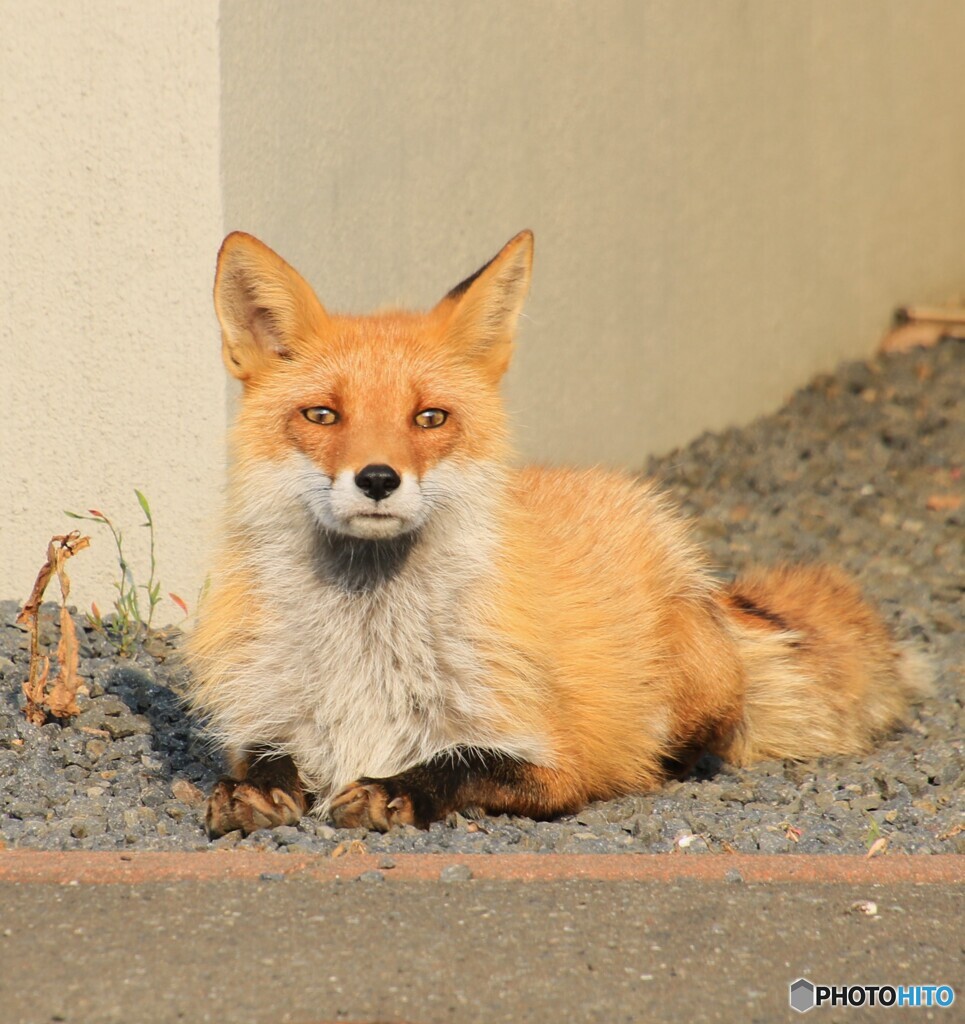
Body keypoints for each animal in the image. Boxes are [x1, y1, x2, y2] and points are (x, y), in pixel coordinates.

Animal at [187, 228, 930, 835]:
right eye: (321, 415)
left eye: (429, 418)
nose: (376, 479)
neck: (367, 649)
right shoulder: (269, 718)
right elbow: (263, 760)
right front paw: (253, 792)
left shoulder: (560, 764)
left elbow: (461, 763)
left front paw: (392, 791)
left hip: (698, 680)